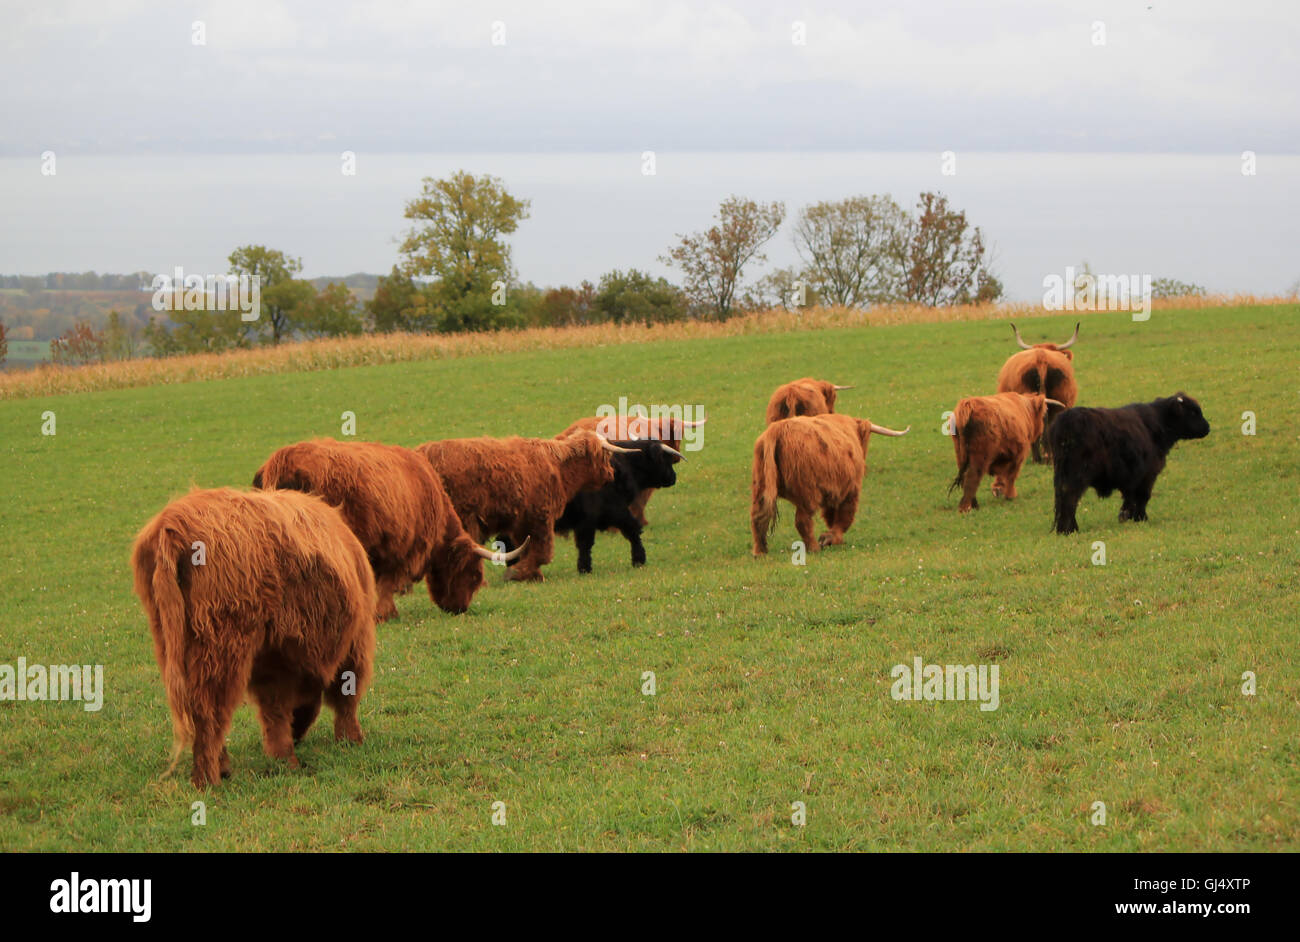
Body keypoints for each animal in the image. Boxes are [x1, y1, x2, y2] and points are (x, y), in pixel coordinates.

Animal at [131, 487, 377, 788]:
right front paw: (351, 740)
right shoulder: (355, 644)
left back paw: (219, 769)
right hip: (221, 645)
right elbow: (345, 696)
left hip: (170, 642)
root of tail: (172, 524)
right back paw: (209, 779)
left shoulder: (273, 661)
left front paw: (285, 759)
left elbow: (275, 712)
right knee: (208, 711)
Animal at [252, 439, 524, 619]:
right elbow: (386, 583)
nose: (459, 609)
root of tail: (286, 459)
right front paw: (385, 612)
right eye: (474, 575)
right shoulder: (400, 550)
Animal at [417, 430, 636, 582]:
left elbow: (527, 549)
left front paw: (529, 573)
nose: (611, 474)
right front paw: (519, 572)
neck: (558, 467)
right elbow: (542, 552)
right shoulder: (540, 517)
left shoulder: (521, 523)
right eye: (605, 457)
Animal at [751, 412, 909, 556]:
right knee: (802, 520)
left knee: (758, 518)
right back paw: (814, 547)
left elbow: (831, 516)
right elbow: (844, 516)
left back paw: (760, 552)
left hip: (761, 485)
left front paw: (830, 538)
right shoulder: (850, 490)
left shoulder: (833, 490)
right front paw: (831, 538)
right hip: (807, 493)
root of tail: (776, 430)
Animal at [1047, 392, 1210, 534]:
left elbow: (1130, 497)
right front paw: (1140, 518)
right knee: (1070, 498)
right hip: (1076, 475)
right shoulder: (1147, 475)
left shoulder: (1130, 477)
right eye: (1193, 412)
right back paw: (1068, 529)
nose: (1207, 427)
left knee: (1062, 499)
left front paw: (1127, 516)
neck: (1157, 423)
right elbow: (1142, 496)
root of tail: (1066, 419)